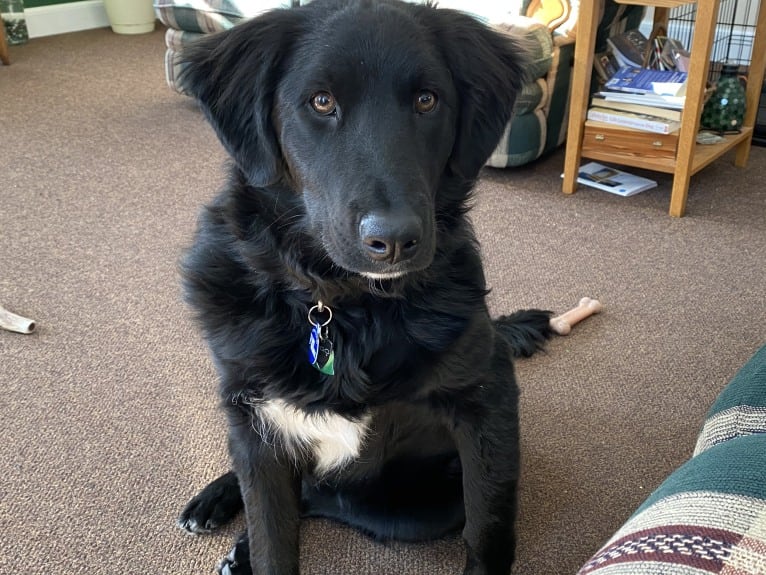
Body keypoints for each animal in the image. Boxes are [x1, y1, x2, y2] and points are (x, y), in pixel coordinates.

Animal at [178, 1, 552, 575]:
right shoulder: (256, 425)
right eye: (321, 101)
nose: (394, 240)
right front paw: (247, 537)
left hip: (415, 508)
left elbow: (489, 527)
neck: (343, 305)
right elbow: (271, 535)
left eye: (427, 100)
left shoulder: (487, 402)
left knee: (319, 493)